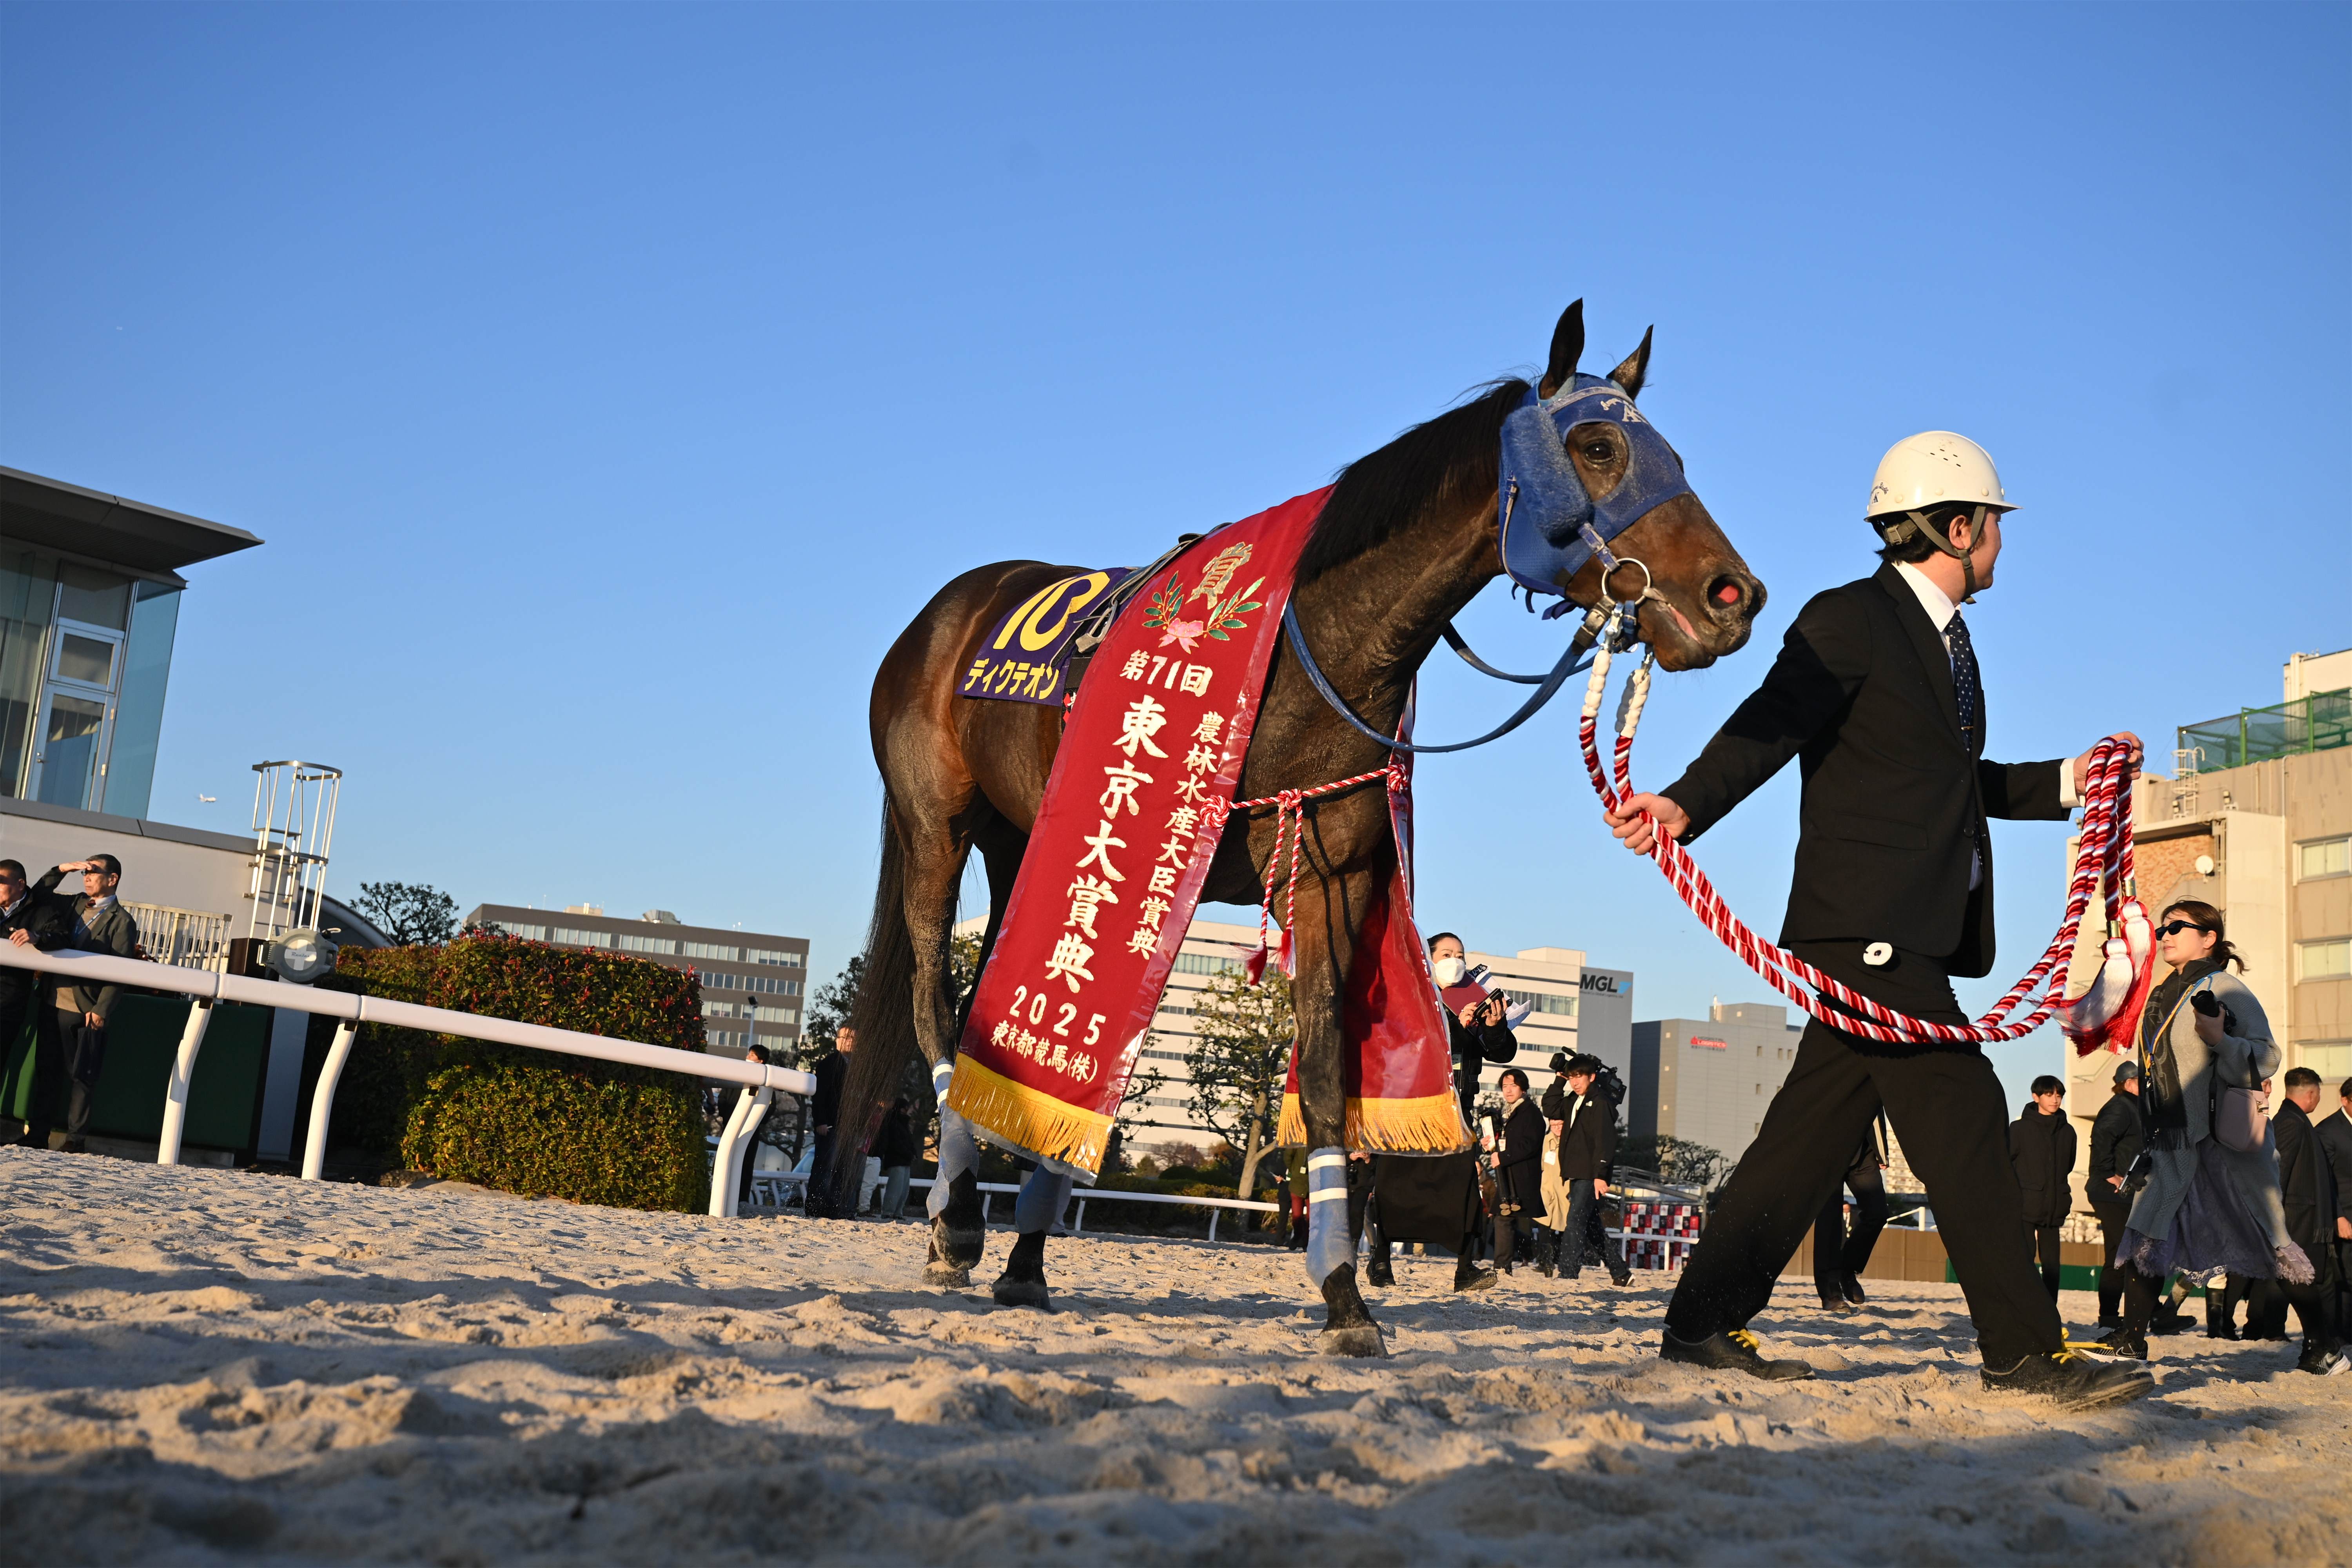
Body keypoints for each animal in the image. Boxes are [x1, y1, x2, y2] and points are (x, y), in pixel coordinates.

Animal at [822, 300, 1763, 1354]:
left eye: (1671, 453)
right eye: (1598, 445)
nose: (1734, 596)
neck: (1311, 655)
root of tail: (943, 612)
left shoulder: (1332, 875)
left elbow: (1322, 1078)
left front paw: (1346, 1293)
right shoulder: (1161, 846)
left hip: (1022, 838)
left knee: (991, 994)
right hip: (936, 824)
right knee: (935, 1002)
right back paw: (952, 1217)